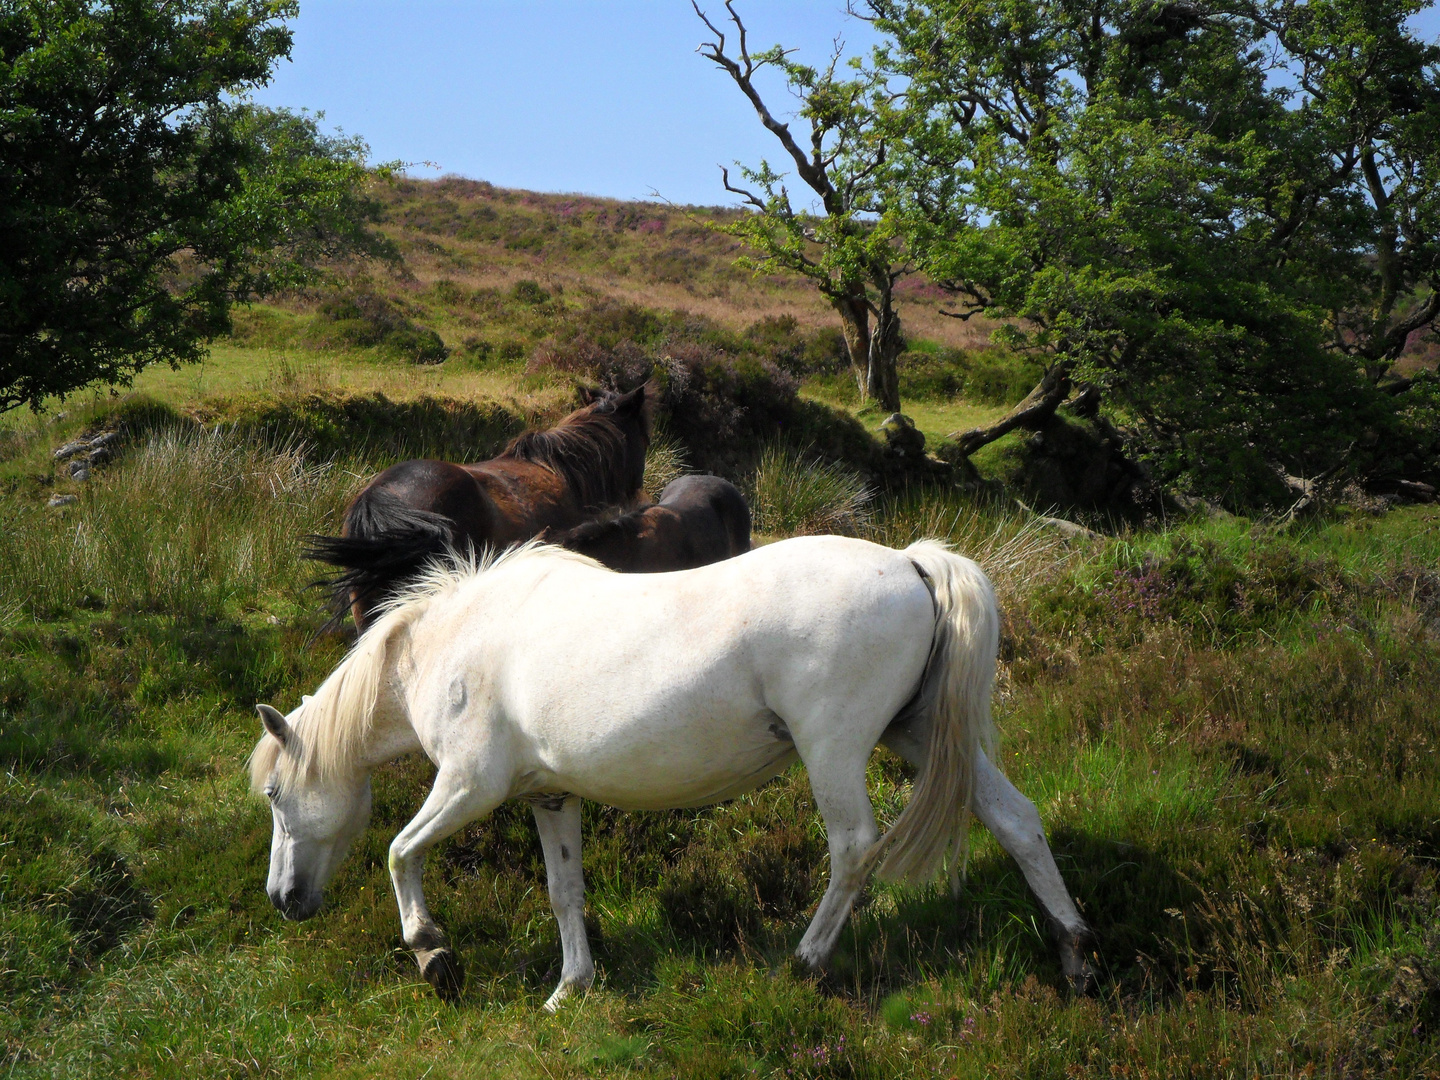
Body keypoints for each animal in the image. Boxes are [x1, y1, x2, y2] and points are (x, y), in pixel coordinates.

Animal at [253, 538, 1094, 1013]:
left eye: (274, 794)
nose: (284, 900)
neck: (450, 642)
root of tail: (913, 562)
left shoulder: (468, 786)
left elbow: (401, 851)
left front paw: (434, 956)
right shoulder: (549, 797)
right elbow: (564, 891)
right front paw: (571, 989)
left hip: (836, 749)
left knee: (855, 849)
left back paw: (804, 964)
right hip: (920, 737)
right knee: (1017, 821)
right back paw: (1077, 955)